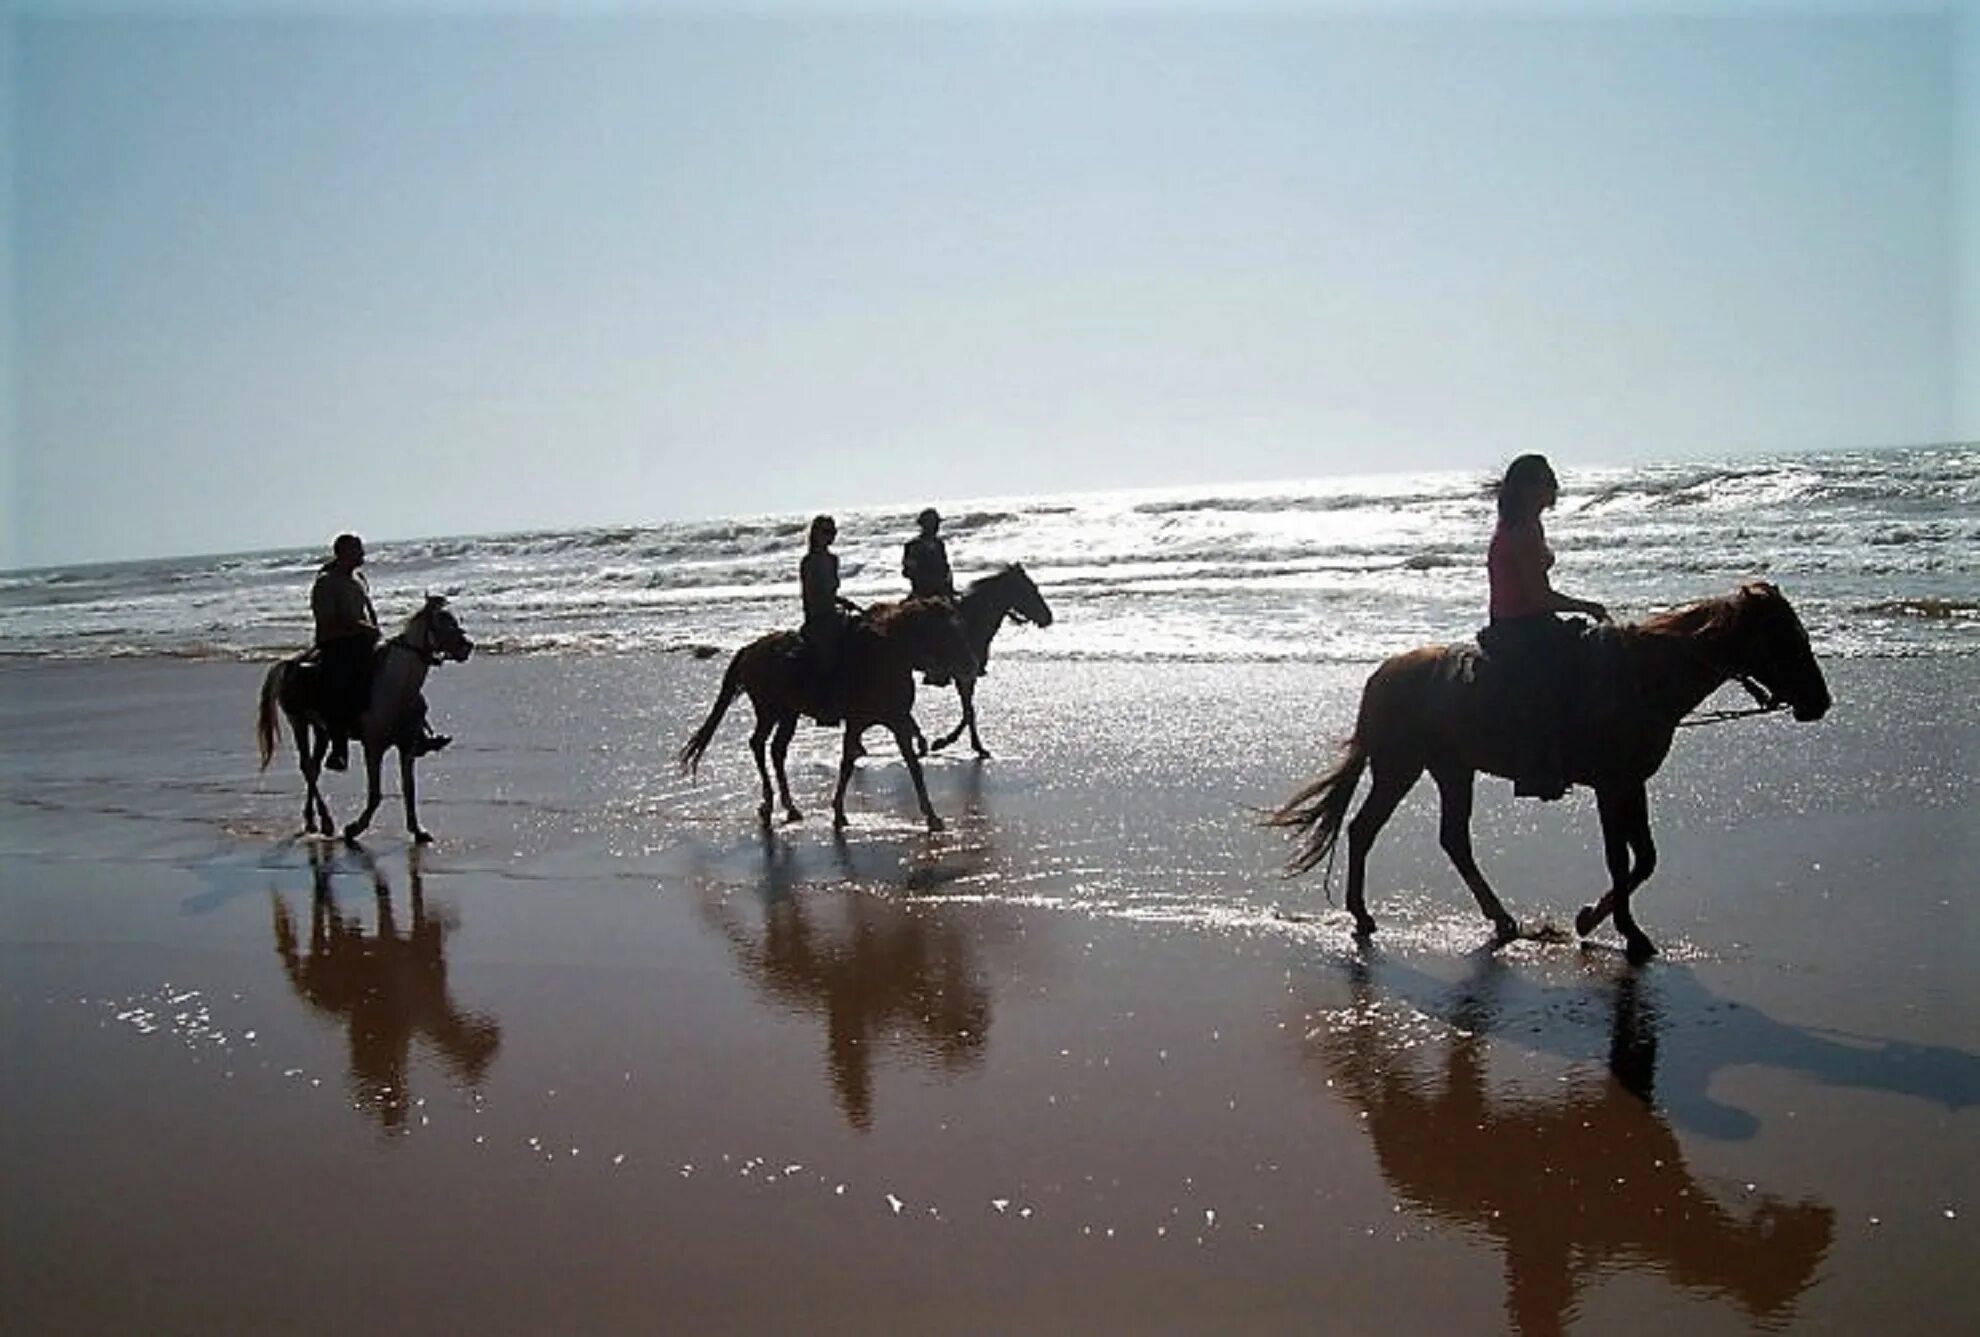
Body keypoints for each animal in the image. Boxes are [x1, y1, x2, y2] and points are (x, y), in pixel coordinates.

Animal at [255, 598, 475, 843]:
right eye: (443, 622)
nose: (468, 646)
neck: (395, 686)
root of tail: (290, 662)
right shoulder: (373, 747)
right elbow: (375, 794)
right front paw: (354, 828)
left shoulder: (406, 748)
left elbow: (409, 790)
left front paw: (417, 830)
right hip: (298, 721)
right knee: (307, 767)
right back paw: (327, 822)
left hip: (322, 729)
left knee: (314, 765)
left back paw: (313, 821)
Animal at [681, 598, 982, 831]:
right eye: (945, 632)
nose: (972, 666)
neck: (885, 657)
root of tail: (750, 650)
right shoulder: (857, 723)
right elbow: (847, 763)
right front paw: (838, 812)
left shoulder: (897, 722)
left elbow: (912, 766)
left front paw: (932, 816)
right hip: (769, 711)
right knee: (757, 744)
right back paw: (768, 805)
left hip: (788, 714)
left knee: (777, 750)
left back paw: (790, 807)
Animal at [918, 562, 1061, 756]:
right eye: (1030, 589)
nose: (1048, 617)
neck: (971, 622)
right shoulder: (964, 676)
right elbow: (969, 712)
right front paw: (949, 742)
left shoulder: (968, 677)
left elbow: (968, 711)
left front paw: (962, 744)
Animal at [1267, 586, 1821, 962]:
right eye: (1786, 640)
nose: (1821, 701)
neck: (1642, 677)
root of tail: (1383, 674)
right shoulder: (1611, 786)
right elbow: (1620, 859)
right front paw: (1626, 933)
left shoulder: (1631, 783)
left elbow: (1644, 859)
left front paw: (1592, 920)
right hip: (1400, 766)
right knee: (1366, 829)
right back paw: (1363, 915)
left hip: (1451, 769)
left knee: (1451, 839)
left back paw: (1499, 919)